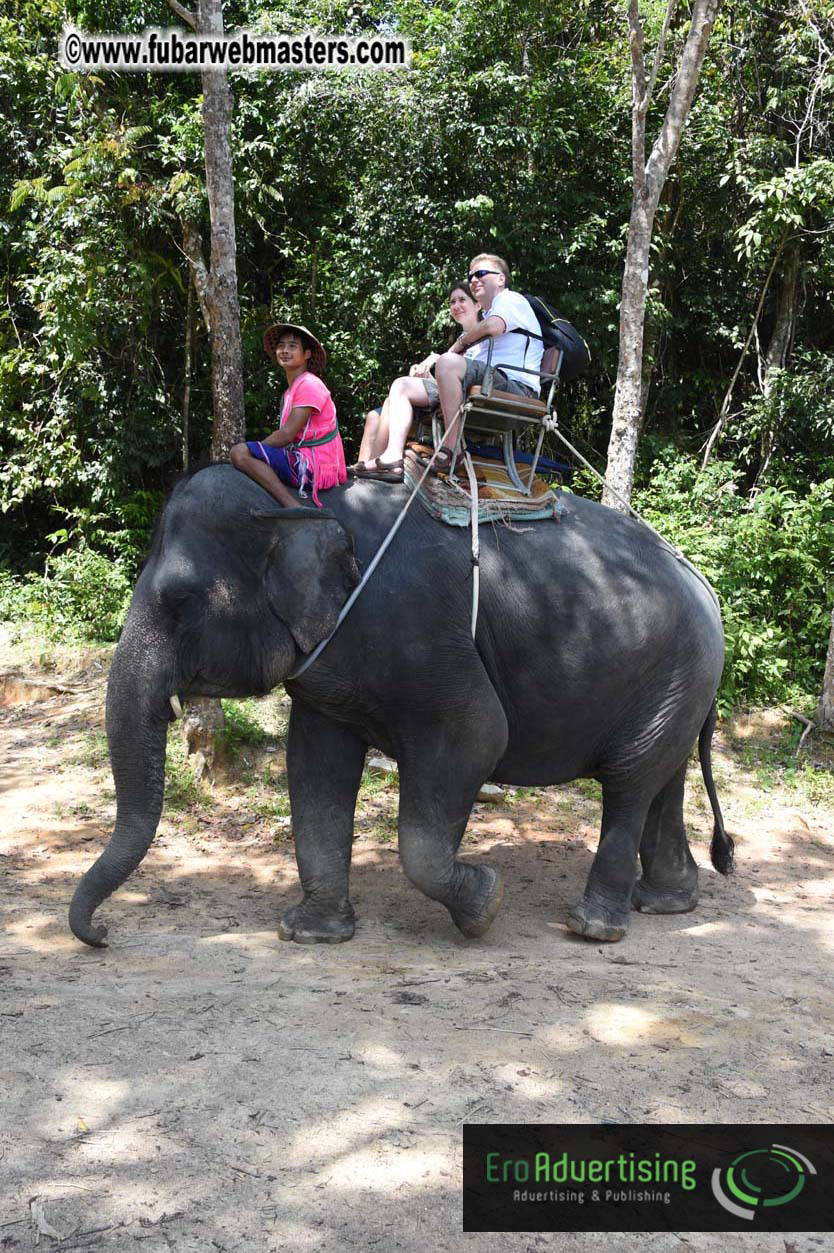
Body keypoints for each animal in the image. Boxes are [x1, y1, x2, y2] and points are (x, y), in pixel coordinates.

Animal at [69, 463, 732, 949]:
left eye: (180, 601)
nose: (103, 935)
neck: (302, 504)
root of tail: (704, 583)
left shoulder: (422, 634)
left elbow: (477, 734)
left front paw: (485, 905)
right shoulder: (331, 676)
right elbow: (314, 767)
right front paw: (311, 934)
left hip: (675, 669)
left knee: (628, 784)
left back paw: (592, 928)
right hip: (678, 683)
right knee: (662, 777)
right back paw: (667, 903)